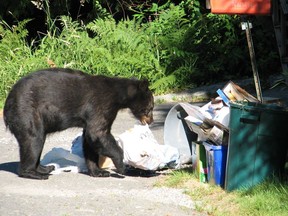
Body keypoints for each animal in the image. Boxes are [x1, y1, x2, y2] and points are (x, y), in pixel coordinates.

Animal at [3, 68, 154, 180]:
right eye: (151, 107)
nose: (151, 121)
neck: (118, 96)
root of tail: (7, 104)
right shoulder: (101, 105)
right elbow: (98, 133)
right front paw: (121, 166)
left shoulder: (91, 116)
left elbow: (89, 139)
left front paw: (98, 171)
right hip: (27, 112)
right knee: (33, 139)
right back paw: (33, 173)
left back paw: (45, 168)